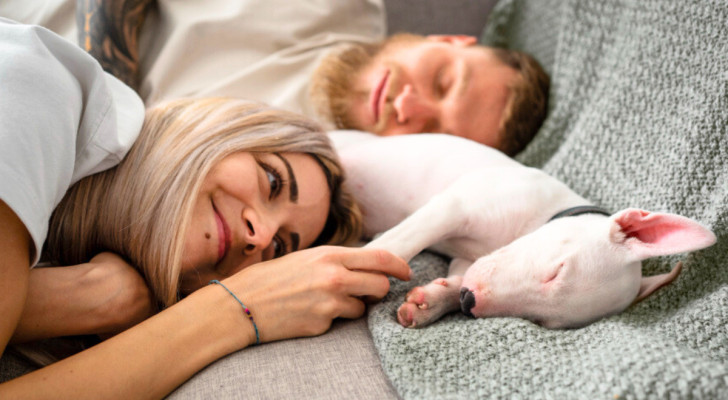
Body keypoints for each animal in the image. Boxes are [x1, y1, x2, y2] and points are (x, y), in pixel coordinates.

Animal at [330, 131, 716, 328]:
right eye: (557, 271)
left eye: (539, 322)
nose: (469, 302)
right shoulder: (455, 204)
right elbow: (399, 243)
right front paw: (359, 270)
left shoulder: (465, 259)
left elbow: (457, 276)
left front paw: (432, 301)